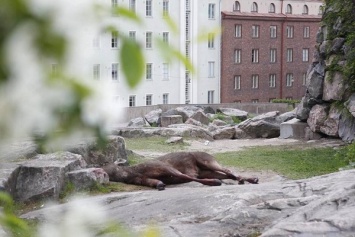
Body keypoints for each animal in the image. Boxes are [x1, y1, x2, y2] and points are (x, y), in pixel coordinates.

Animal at [103, 152, 258, 191]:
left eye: (106, 166)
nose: (103, 174)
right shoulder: (142, 180)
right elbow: (155, 183)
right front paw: (160, 185)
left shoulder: (164, 166)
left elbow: (185, 176)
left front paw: (214, 183)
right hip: (206, 170)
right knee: (226, 174)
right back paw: (248, 179)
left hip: (208, 161)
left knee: (227, 170)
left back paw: (248, 179)